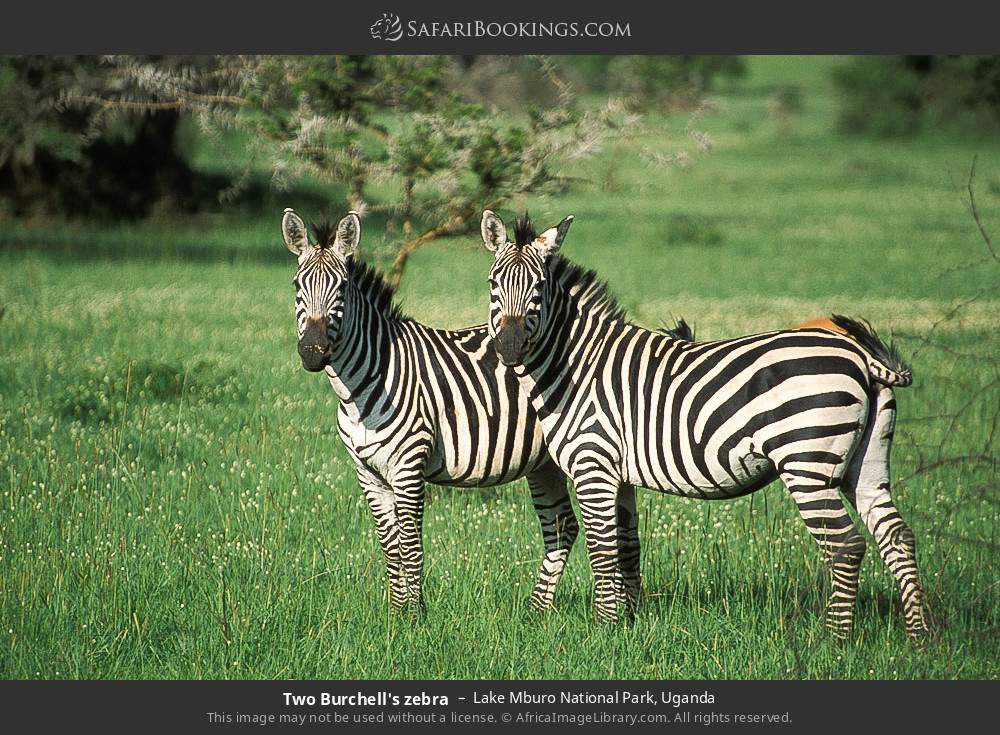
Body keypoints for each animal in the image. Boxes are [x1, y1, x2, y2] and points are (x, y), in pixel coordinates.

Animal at [282, 208, 579, 617]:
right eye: (298, 286)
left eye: (340, 289)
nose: (313, 351)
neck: (364, 382)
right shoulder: (367, 473)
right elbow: (390, 547)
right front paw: (396, 613)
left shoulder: (409, 466)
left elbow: (410, 546)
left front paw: (416, 617)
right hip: (543, 462)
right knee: (563, 524)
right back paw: (538, 611)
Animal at [480, 209, 930, 640]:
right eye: (492, 285)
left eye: (539, 288)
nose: (508, 348)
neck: (577, 363)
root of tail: (860, 356)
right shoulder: (620, 474)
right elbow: (627, 546)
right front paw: (627, 625)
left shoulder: (594, 464)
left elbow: (602, 549)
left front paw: (603, 627)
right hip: (866, 464)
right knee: (898, 537)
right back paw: (920, 636)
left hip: (807, 462)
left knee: (845, 546)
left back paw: (835, 640)